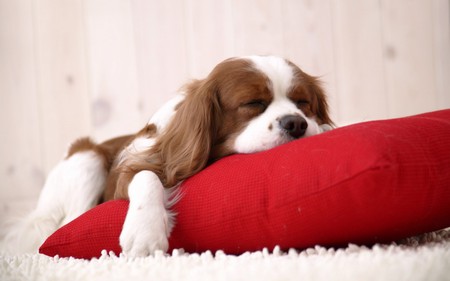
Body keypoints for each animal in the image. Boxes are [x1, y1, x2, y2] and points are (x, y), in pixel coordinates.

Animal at [2, 54, 334, 256]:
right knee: (68, 222)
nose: (296, 123)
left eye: (303, 103)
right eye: (253, 103)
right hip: (86, 158)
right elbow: (146, 176)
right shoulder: (127, 173)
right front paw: (145, 233)